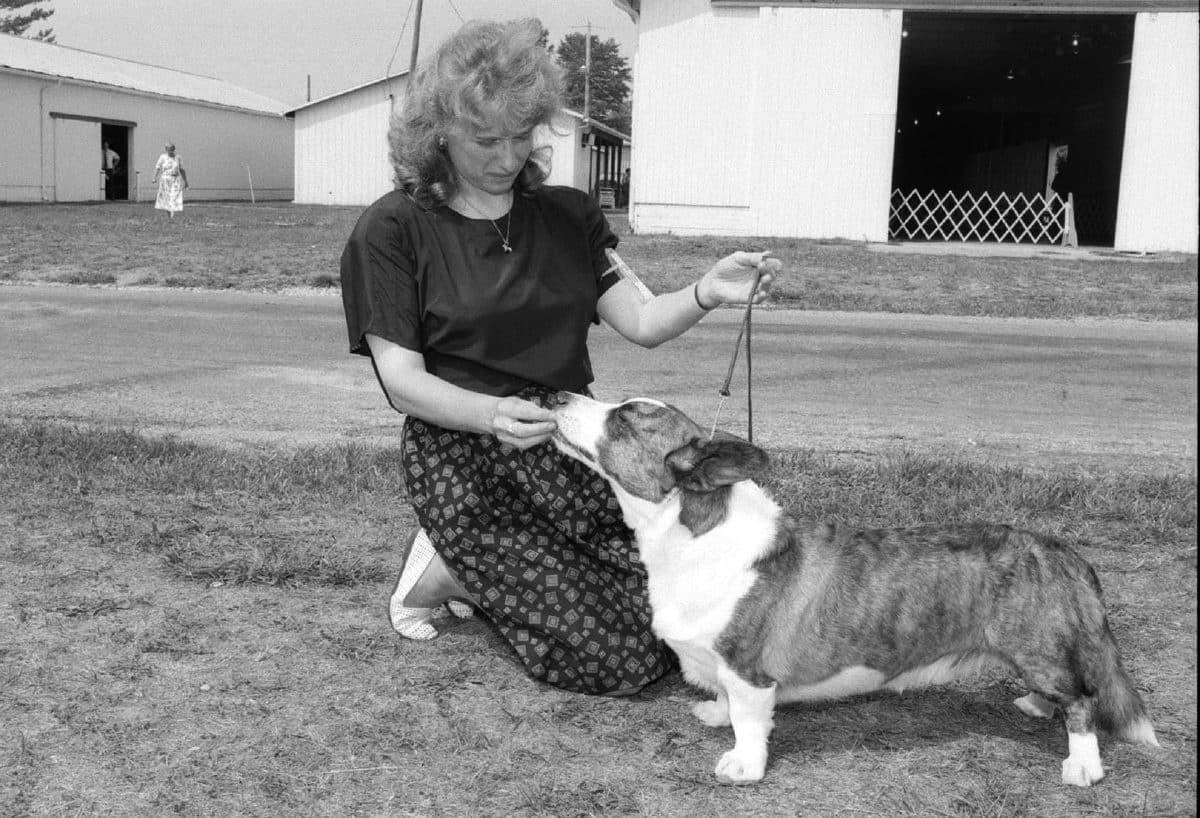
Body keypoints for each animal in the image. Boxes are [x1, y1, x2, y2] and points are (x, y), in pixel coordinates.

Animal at [547, 392, 1159, 787]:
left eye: (627, 417)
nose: (553, 395)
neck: (693, 532)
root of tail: (1058, 549)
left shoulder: (748, 669)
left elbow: (750, 721)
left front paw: (743, 766)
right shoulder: (722, 667)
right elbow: (725, 703)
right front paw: (714, 716)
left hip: (1038, 648)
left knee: (1081, 701)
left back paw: (1082, 767)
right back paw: (1034, 705)